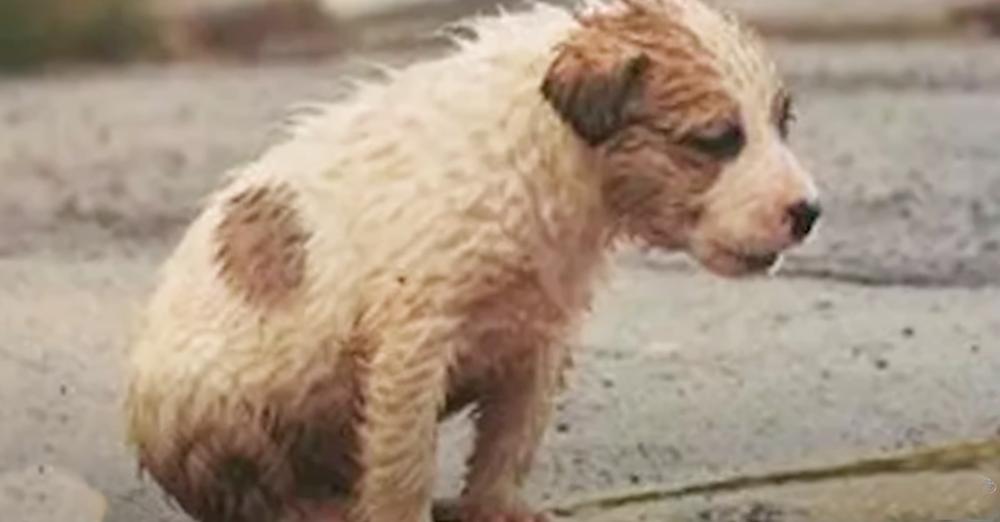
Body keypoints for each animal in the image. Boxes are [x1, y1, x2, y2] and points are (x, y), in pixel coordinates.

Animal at [127, 1, 820, 520]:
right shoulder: (414, 340)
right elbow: (403, 461)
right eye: (717, 140)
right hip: (220, 410)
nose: (809, 212)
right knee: (254, 492)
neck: (548, 156)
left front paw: (496, 508)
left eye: (782, 124)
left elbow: (509, 442)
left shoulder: (538, 338)